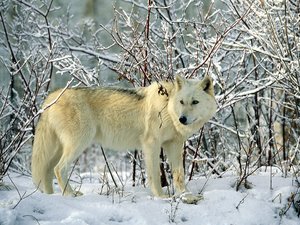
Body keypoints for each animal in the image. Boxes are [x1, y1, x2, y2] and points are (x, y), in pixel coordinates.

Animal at [31, 75, 217, 204]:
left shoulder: (175, 145)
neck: (168, 108)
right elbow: (155, 176)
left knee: (48, 171)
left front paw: (186, 195)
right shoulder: (151, 145)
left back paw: (51, 195)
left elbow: (179, 175)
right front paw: (161, 196)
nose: (182, 119)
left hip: (60, 150)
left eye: (195, 102)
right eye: (182, 102)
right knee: (59, 169)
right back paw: (70, 194)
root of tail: (52, 96)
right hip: (79, 144)